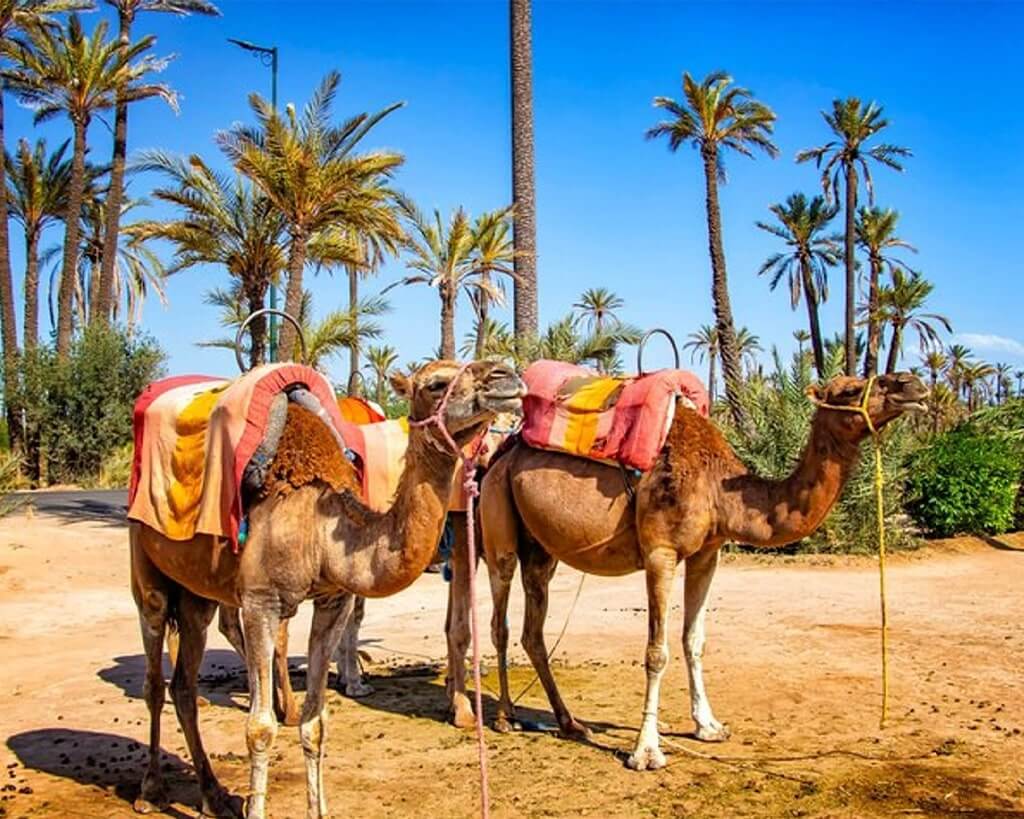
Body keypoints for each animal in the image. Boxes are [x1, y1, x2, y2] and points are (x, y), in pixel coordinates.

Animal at [129, 360, 524, 818]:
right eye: (436, 384)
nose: (506, 375)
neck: (318, 528)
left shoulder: (333, 600)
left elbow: (315, 723)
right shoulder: (260, 602)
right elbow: (259, 727)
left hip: (197, 594)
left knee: (185, 685)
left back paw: (214, 795)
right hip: (146, 565)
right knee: (155, 672)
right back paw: (150, 789)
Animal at [479, 374, 929, 769]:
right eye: (851, 389)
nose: (913, 384)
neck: (718, 487)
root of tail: (502, 454)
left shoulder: (707, 554)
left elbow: (694, 640)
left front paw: (709, 726)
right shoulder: (660, 552)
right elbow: (656, 651)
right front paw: (646, 751)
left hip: (541, 550)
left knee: (533, 632)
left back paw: (571, 723)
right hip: (499, 524)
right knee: (500, 619)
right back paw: (505, 717)